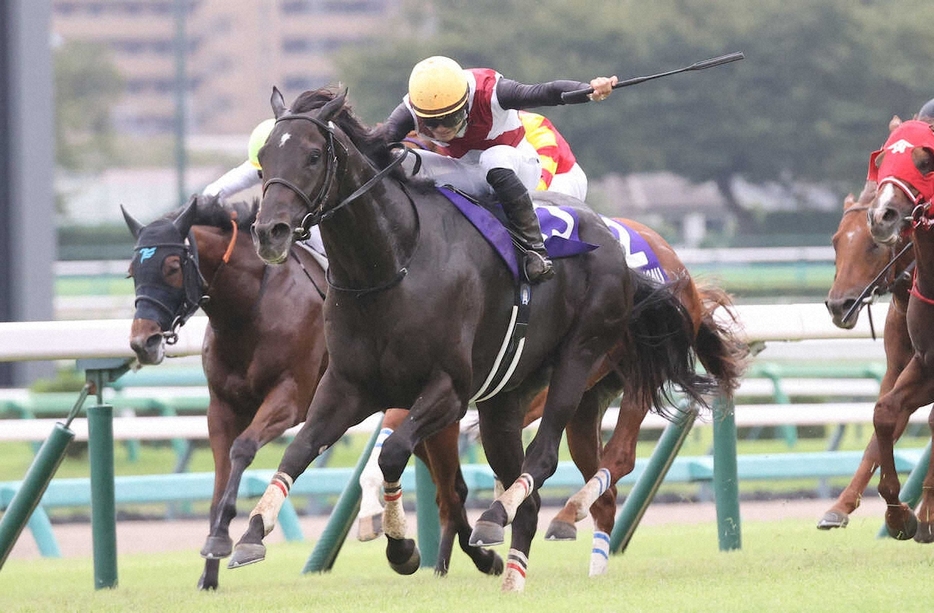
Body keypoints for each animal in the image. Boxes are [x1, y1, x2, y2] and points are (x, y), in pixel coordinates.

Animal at [234, 86, 716, 588]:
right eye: (263, 160)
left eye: (312, 155)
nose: (269, 232)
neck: (391, 266)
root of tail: (615, 239)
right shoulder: (347, 388)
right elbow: (298, 452)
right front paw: (252, 532)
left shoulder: (448, 390)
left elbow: (392, 453)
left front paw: (402, 546)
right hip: (507, 398)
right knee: (533, 494)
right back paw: (514, 574)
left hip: (579, 360)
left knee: (548, 459)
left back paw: (499, 518)